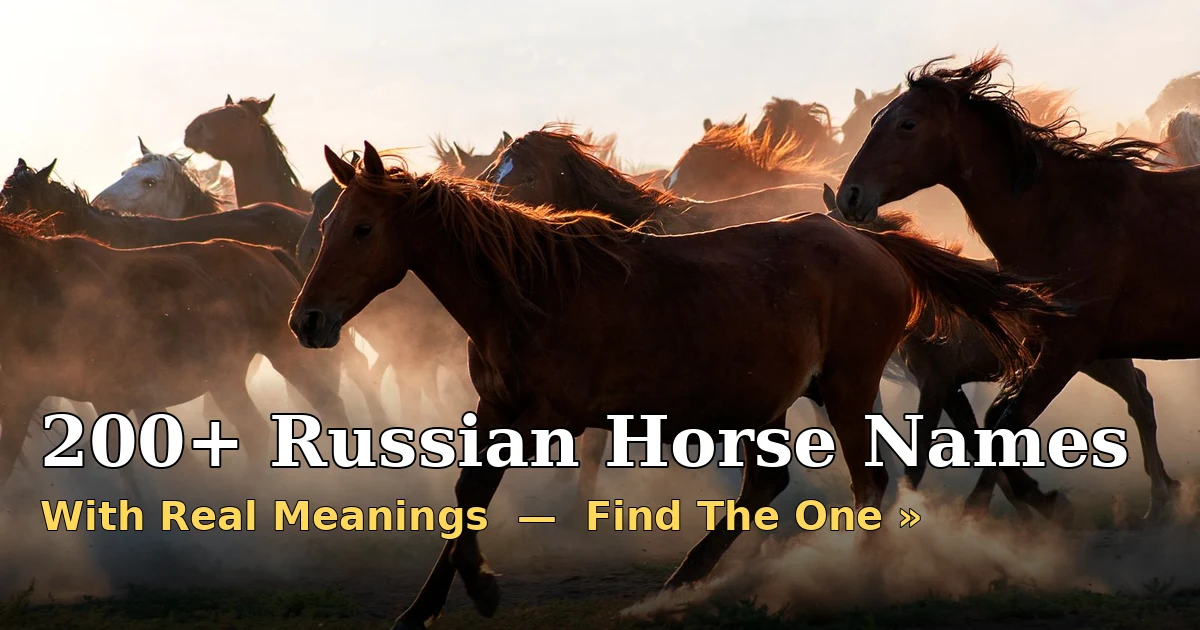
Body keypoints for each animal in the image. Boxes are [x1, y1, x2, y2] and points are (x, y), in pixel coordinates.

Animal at [0, 211, 351, 492]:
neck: (44, 288)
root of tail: (267, 254)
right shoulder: (22, 398)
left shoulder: (109, 398)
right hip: (225, 379)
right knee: (255, 431)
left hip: (284, 355)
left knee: (329, 406)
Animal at [292, 142, 1060, 628]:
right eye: (329, 223)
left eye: (362, 228)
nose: (308, 320)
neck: (531, 291)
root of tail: (869, 240)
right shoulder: (495, 407)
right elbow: (465, 493)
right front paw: (422, 608)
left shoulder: (544, 417)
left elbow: (478, 490)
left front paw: (479, 588)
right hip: (775, 402)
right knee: (773, 483)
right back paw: (684, 581)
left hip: (845, 387)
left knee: (867, 481)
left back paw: (855, 579)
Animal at [836, 50, 1193, 521]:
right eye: (875, 118)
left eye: (907, 124)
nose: (850, 195)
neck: (1063, 216)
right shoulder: (1031, 355)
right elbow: (992, 427)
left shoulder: (1060, 352)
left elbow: (998, 429)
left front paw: (987, 512)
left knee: (1138, 398)